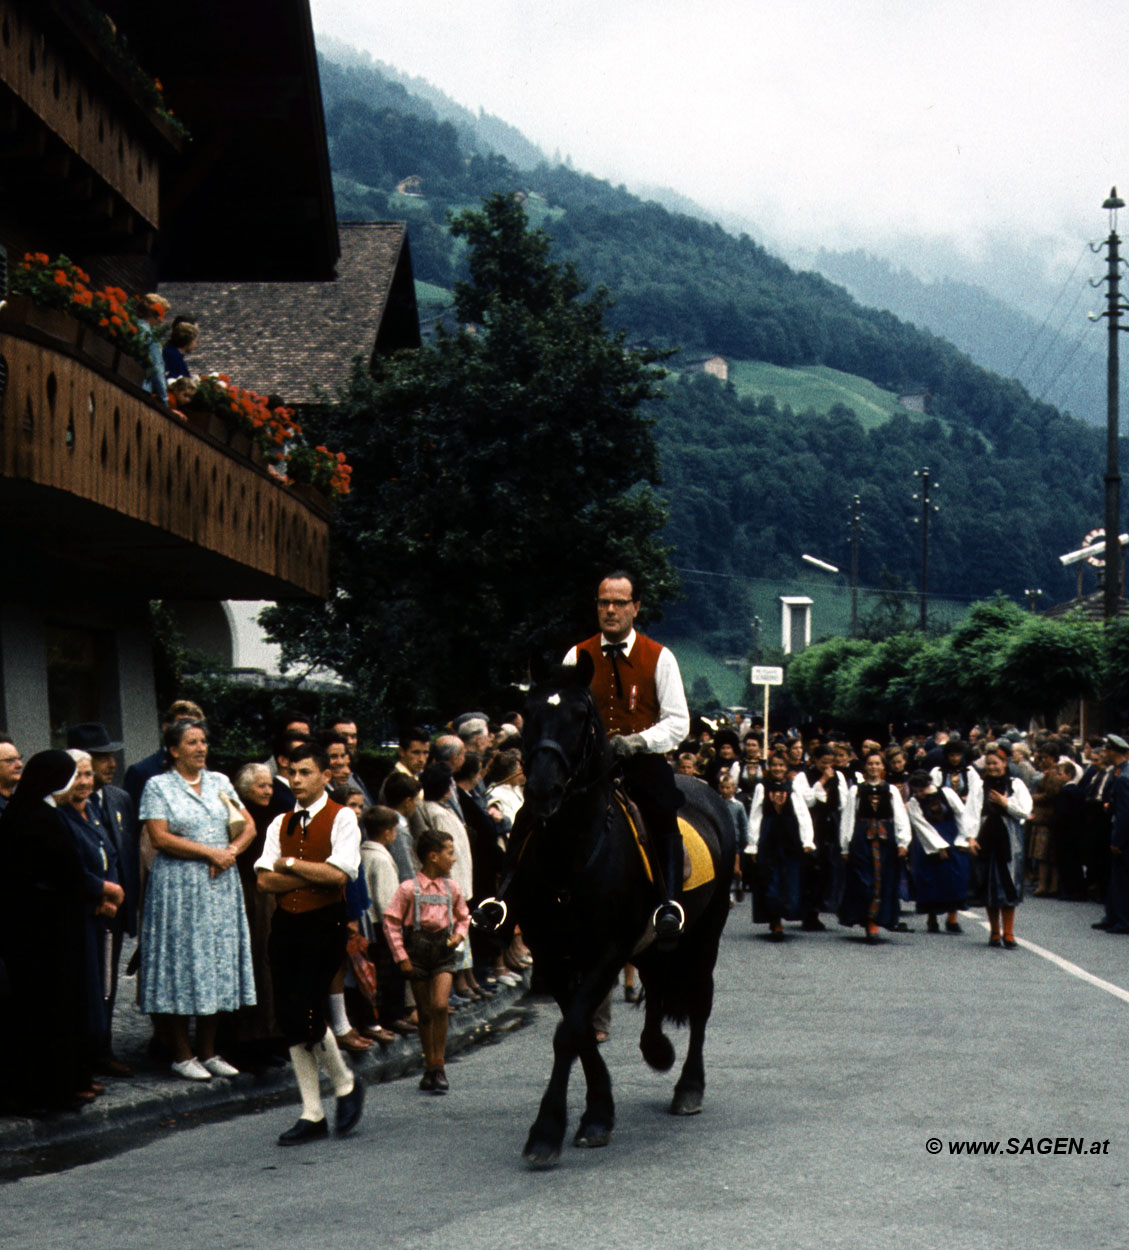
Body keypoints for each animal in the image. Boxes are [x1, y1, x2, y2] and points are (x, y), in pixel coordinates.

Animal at [492, 650, 735, 1165]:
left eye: (581, 715)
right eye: (529, 711)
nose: (542, 791)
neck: (572, 852)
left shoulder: (608, 948)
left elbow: (570, 1031)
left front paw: (549, 1129)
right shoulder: (552, 952)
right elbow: (579, 1027)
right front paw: (597, 1111)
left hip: (706, 933)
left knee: (700, 1001)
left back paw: (689, 1086)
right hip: (655, 941)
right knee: (657, 986)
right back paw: (656, 1048)